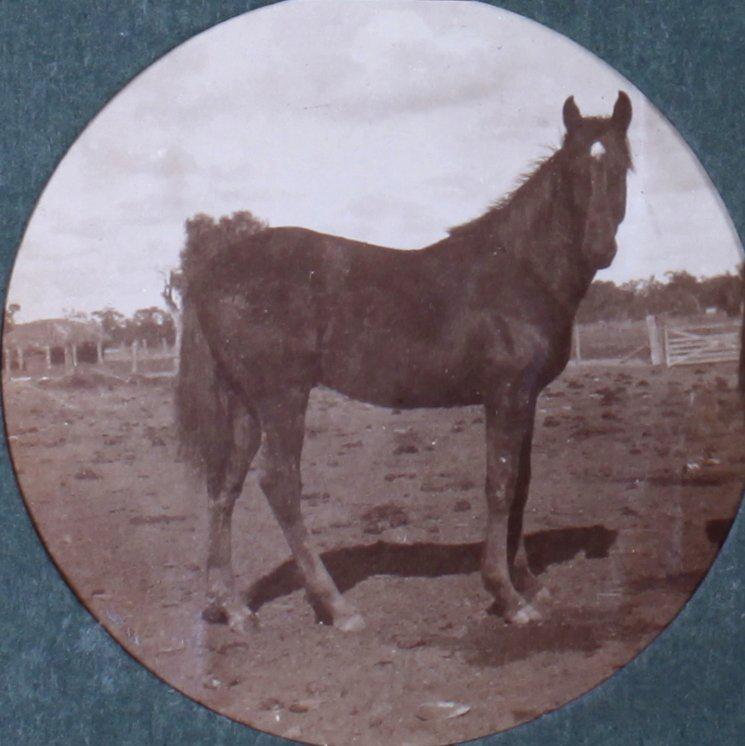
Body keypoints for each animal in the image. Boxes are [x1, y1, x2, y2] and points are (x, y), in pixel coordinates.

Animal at [175, 92, 633, 632]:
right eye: (572, 170)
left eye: (621, 167)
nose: (600, 248)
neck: (519, 271)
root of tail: (210, 272)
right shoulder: (505, 393)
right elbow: (500, 484)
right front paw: (506, 595)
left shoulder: (528, 397)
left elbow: (521, 482)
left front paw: (529, 583)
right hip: (282, 397)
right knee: (280, 484)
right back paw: (337, 607)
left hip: (245, 404)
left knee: (225, 485)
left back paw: (232, 607)